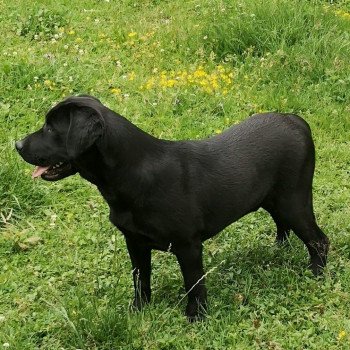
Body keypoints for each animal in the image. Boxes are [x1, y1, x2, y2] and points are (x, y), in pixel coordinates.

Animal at [15, 95, 328, 320]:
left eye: (51, 128)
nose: (17, 144)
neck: (132, 173)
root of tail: (296, 121)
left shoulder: (187, 245)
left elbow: (194, 284)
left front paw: (196, 318)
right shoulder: (134, 242)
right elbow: (140, 280)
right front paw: (139, 311)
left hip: (294, 201)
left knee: (319, 240)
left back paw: (316, 274)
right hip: (275, 200)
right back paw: (279, 248)